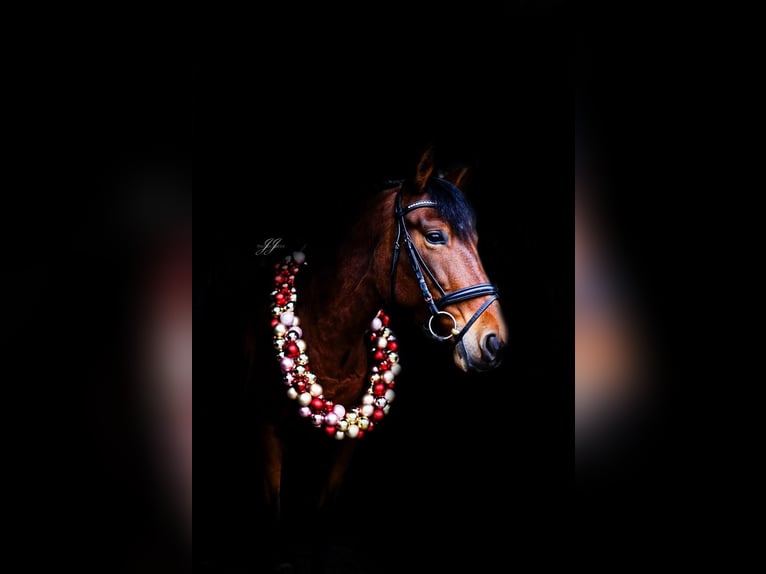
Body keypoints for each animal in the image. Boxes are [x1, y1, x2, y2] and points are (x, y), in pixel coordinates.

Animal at [249, 149, 507, 569]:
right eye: (435, 236)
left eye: (477, 240)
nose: (494, 342)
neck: (326, 332)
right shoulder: (267, 431)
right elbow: (272, 516)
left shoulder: (345, 447)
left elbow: (322, 518)